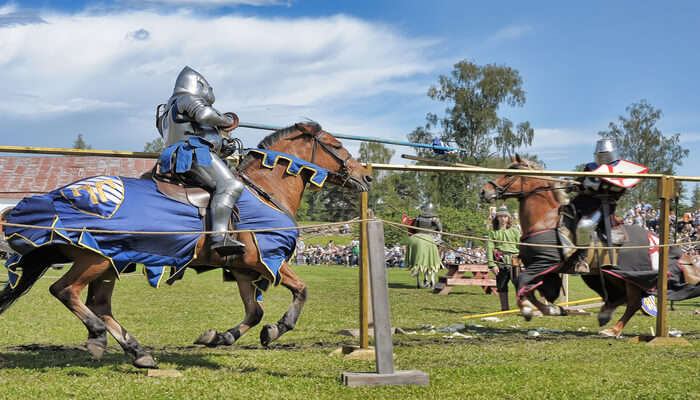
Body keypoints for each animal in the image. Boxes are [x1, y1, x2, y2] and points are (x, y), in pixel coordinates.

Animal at [0, 122, 372, 368]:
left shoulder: (242, 268)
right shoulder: (267, 261)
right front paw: (276, 331)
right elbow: (301, 291)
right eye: (337, 146)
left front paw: (221, 337)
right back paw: (99, 337)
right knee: (66, 291)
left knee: (100, 305)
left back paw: (138, 352)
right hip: (95, 259)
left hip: (110, 263)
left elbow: (254, 311)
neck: (265, 191)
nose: (366, 176)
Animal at [478, 155, 700, 336]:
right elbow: (530, 288)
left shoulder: (544, 263)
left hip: (630, 276)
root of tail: (656, 240)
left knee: (634, 301)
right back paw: (605, 314)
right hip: (606, 275)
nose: (483, 192)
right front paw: (554, 309)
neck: (544, 220)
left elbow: (522, 282)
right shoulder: (543, 268)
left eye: (509, 174)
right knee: (622, 298)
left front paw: (527, 309)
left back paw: (613, 329)